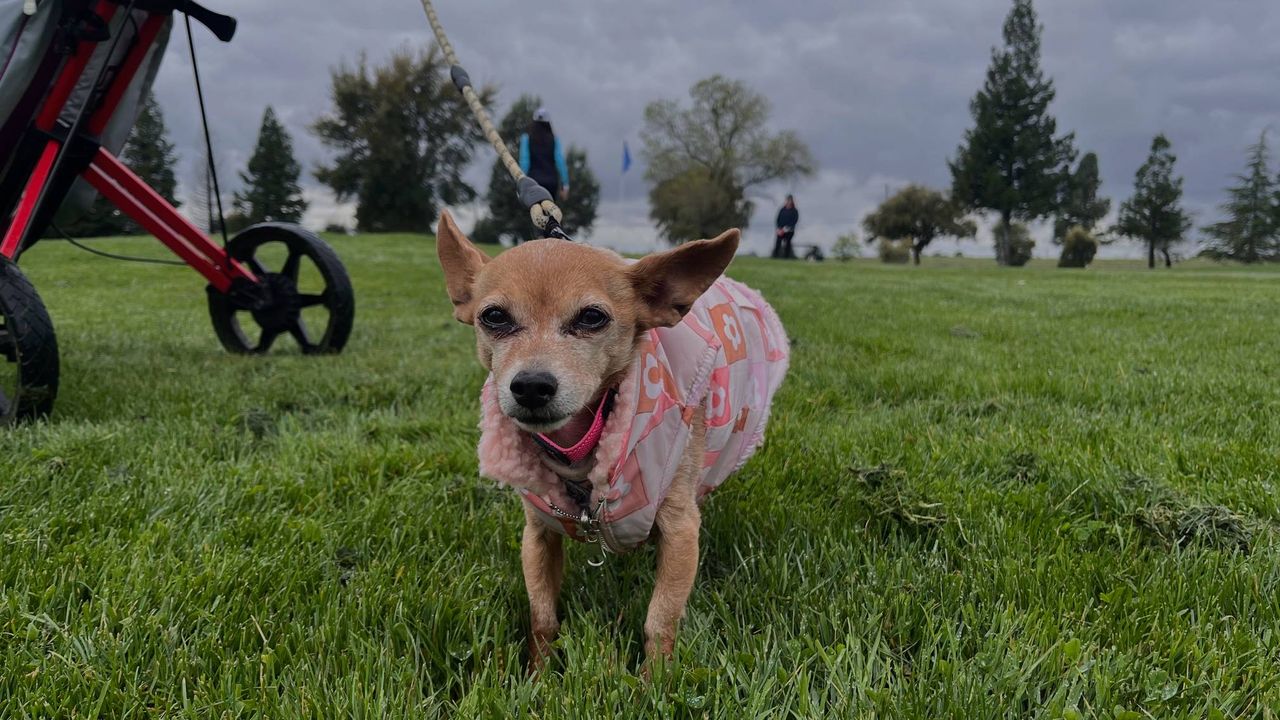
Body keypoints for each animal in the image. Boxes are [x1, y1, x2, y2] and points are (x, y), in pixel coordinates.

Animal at [435, 210, 783, 666]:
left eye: (591, 317)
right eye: (493, 317)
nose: (531, 385)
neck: (579, 450)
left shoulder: (681, 530)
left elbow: (660, 619)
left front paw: (657, 679)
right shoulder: (539, 534)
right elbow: (542, 616)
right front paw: (537, 674)